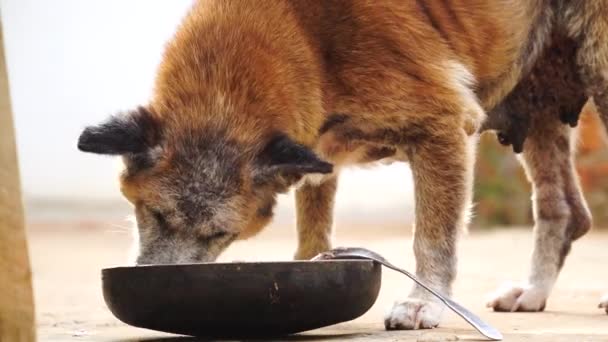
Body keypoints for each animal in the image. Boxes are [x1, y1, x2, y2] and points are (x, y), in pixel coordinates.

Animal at [77, 0, 608, 328]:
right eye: (154, 214)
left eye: (220, 234)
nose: (152, 291)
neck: (303, 33)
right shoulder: (318, 155)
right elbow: (314, 233)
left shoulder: (443, 127)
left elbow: (433, 239)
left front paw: (422, 303)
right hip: (540, 108)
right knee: (566, 211)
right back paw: (534, 292)